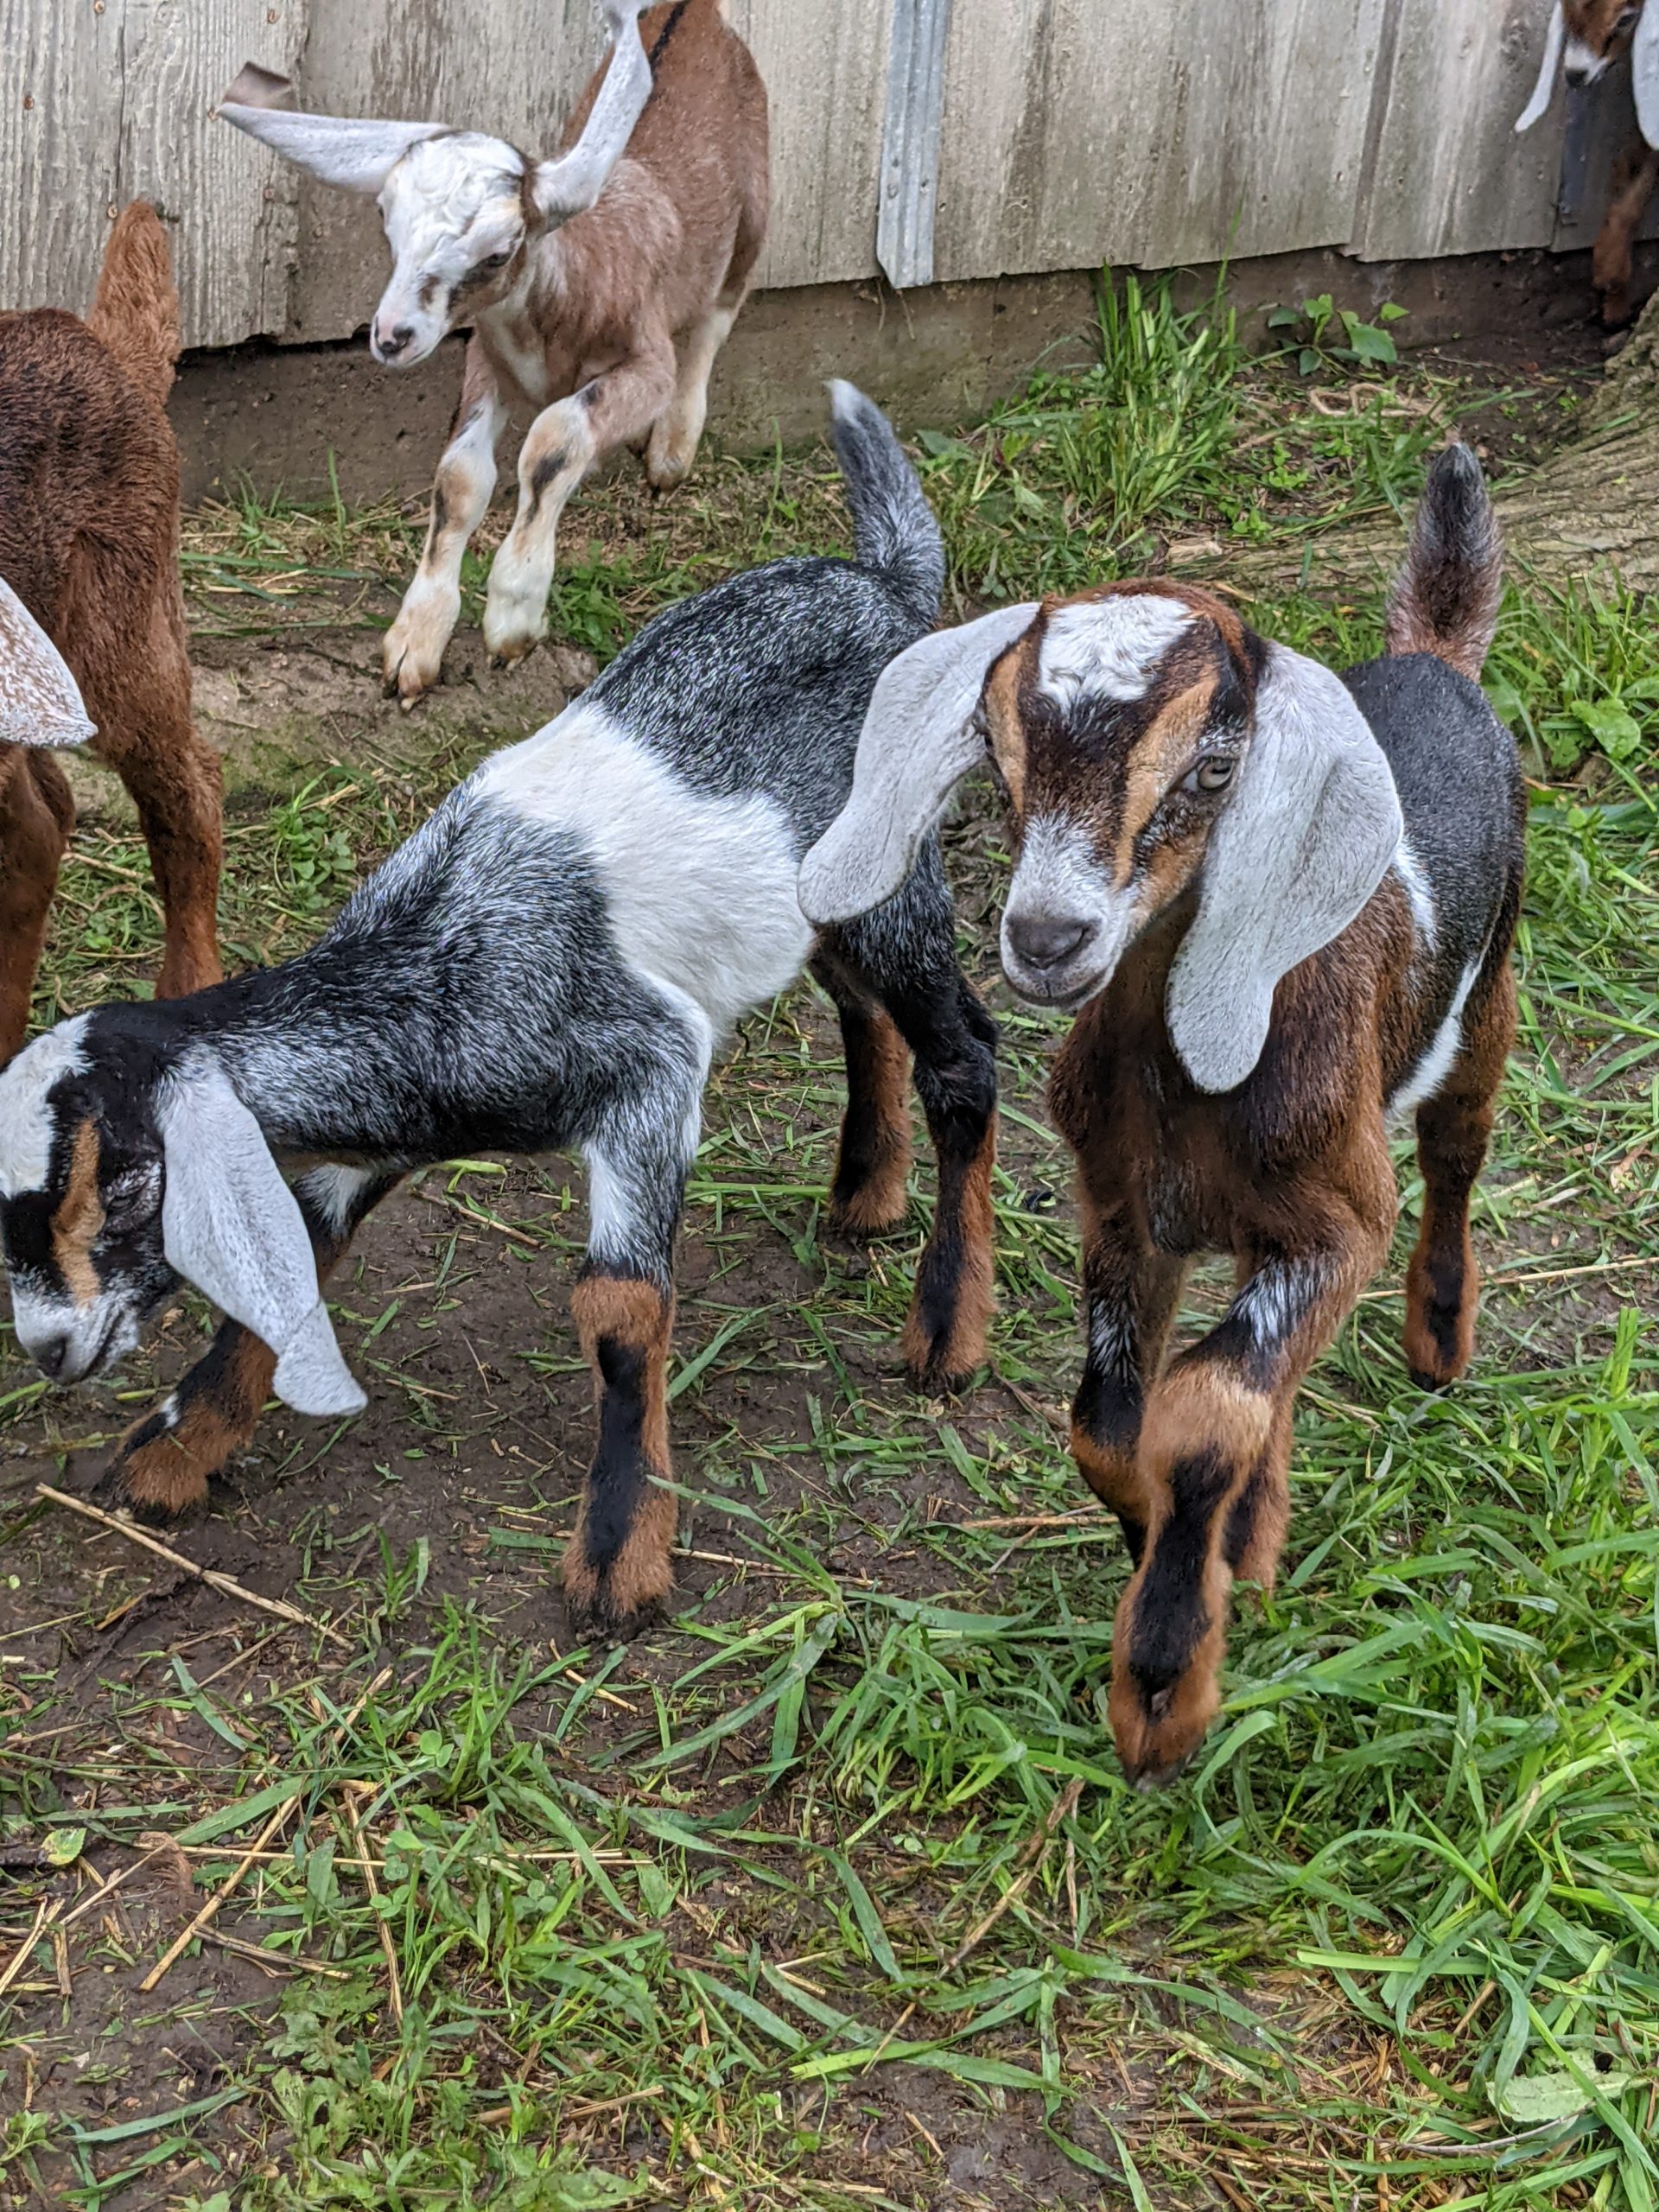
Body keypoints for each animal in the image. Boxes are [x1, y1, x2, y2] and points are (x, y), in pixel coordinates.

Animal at [0, 385, 1000, 1645]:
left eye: (126, 1181)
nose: (47, 1346)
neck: (431, 965)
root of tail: (890, 587)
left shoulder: (647, 1071)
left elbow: (619, 1309)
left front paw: (620, 1556)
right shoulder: (369, 1128)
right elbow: (293, 1257)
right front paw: (171, 1459)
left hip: (901, 868)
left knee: (967, 1055)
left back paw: (948, 1333)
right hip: (818, 899)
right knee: (861, 1009)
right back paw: (866, 1195)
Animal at [222, 0, 774, 703]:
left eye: (498, 251)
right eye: (386, 222)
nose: (391, 336)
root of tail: (699, 11)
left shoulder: (646, 363)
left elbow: (554, 442)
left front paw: (513, 619)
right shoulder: (487, 363)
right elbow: (459, 479)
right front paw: (414, 646)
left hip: (754, 206)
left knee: (716, 317)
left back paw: (671, 452)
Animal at [800, 444, 1530, 1778]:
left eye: (1211, 767)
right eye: (998, 754)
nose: (1047, 938)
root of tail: (1437, 659)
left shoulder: (1339, 1225)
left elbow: (1201, 1414)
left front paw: (1161, 1686)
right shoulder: (1124, 1210)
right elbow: (1111, 1422)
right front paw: (1181, 1549)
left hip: (1490, 984)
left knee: (1459, 1145)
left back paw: (1439, 1340)